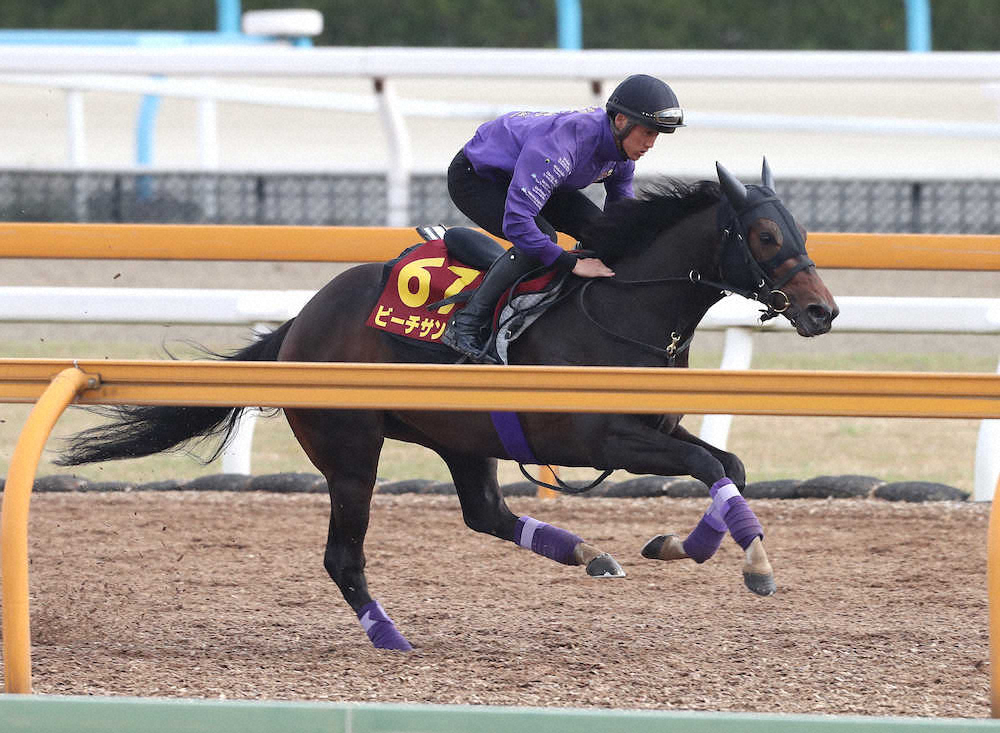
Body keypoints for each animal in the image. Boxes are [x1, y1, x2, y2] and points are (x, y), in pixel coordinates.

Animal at [60, 162, 836, 652]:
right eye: (765, 236)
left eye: (801, 230)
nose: (823, 310)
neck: (623, 307)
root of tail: (303, 320)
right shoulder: (605, 440)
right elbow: (713, 466)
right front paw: (748, 564)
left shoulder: (656, 429)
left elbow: (727, 464)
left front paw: (684, 545)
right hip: (351, 453)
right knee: (343, 556)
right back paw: (390, 637)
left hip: (465, 436)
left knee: (484, 513)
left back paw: (590, 554)